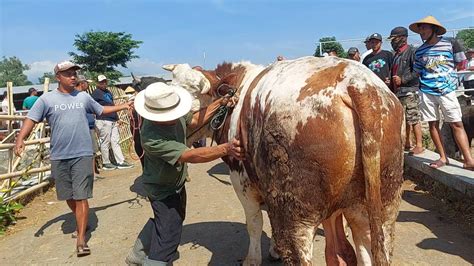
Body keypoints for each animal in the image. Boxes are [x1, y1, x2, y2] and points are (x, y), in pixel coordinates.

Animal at [163, 55, 404, 264]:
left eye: (190, 96)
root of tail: (358, 83)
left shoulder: (242, 182)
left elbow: (254, 223)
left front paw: (253, 260)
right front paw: (274, 251)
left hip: (296, 214)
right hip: (379, 208)